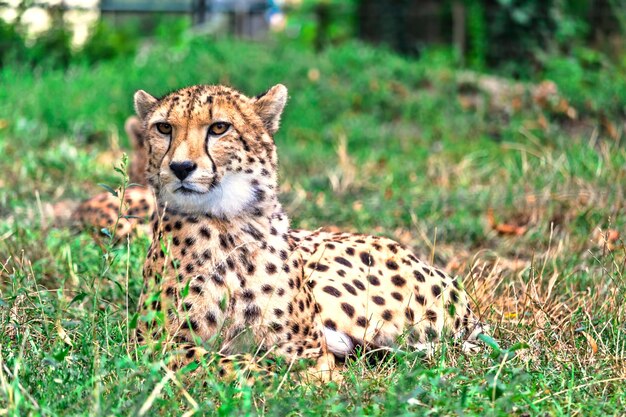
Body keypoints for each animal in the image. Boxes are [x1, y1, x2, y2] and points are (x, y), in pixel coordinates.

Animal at [128, 82, 482, 380]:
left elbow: (292, 366)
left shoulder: (306, 346)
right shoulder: (151, 343)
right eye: (164, 128)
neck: (226, 223)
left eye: (219, 128)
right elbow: (230, 362)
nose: (180, 167)